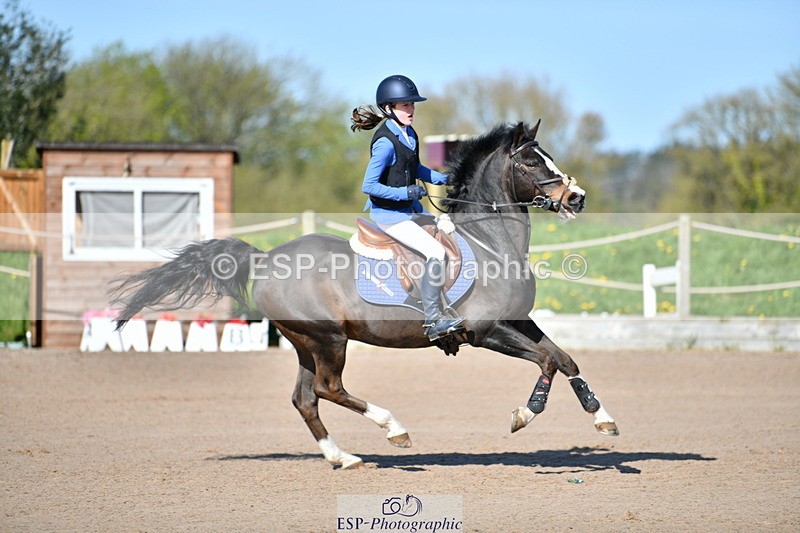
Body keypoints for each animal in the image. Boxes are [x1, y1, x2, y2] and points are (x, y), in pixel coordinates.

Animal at [112, 120, 619, 469]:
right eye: (532, 162)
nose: (577, 198)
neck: (491, 241)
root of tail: (266, 257)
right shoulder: (486, 331)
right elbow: (547, 361)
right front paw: (523, 415)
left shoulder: (518, 321)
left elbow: (566, 359)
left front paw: (601, 417)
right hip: (329, 339)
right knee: (328, 388)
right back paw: (394, 430)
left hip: (305, 342)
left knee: (305, 398)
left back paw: (343, 457)